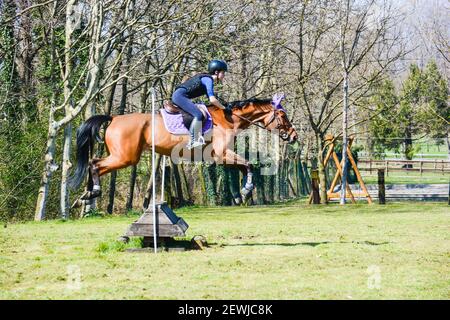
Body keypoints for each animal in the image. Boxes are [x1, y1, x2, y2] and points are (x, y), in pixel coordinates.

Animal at [68, 92, 298, 208]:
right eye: (283, 116)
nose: (294, 135)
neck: (227, 119)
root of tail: (114, 117)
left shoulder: (221, 158)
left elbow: (245, 166)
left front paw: (243, 193)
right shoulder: (221, 155)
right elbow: (248, 164)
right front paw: (246, 189)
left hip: (123, 156)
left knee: (93, 164)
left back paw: (86, 195)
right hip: (125, 157)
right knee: (94, 164)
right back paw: (93, 192)